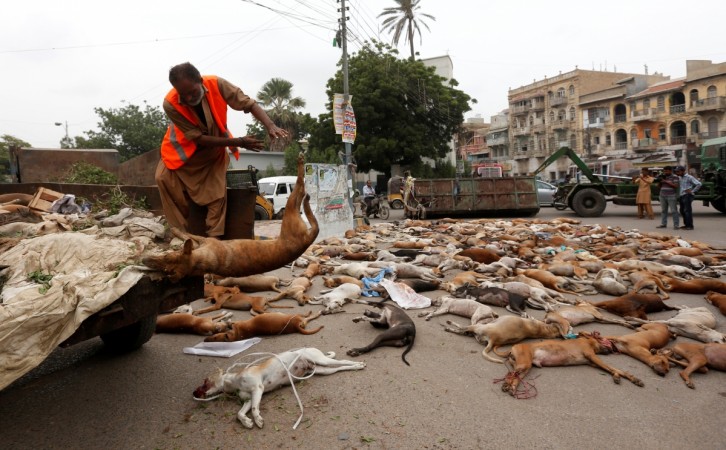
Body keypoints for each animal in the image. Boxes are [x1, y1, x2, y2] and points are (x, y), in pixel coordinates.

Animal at [144, 155, 320, 282]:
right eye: (165, 269)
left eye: (167, 257)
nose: (144, 260)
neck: (202, 262)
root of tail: (306, 241)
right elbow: (186, 235)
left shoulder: (206, 240)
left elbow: (185, 234)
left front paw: (174, 229)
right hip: (292, 215)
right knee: (303, 198)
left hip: (290, 213)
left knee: (300, 186)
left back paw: (301, 166)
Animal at [193, 348, 366, 428]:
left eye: (205, 381)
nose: (194, 392)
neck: (234, 381)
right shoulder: (248, 399)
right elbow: (239, 413)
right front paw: (247, 422)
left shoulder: (258, 389)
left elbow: (255, 409)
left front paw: (257, 420)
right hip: (322, 370)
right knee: (340, 368)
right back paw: (356, 367)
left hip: (323, 361)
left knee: (343, 361)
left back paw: (358, 364)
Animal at [444, 314, 576, 364]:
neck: (544, 330)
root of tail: (493, 340)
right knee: (465, 331)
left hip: (478, 327)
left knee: (461, 328)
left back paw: (449, 326)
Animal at [500, 332, 648, 396]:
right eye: (604, 340)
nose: (612, 350)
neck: (588, 342)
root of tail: (513, 347)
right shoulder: (592, 356)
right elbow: (612, 368)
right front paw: (617, 375)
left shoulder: (592, 362)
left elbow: (616, 369)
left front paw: (632, 378)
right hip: (524, 364)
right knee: (510, 374)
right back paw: (507, 385)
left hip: (525, 367)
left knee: (515, 377)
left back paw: (512, 388)